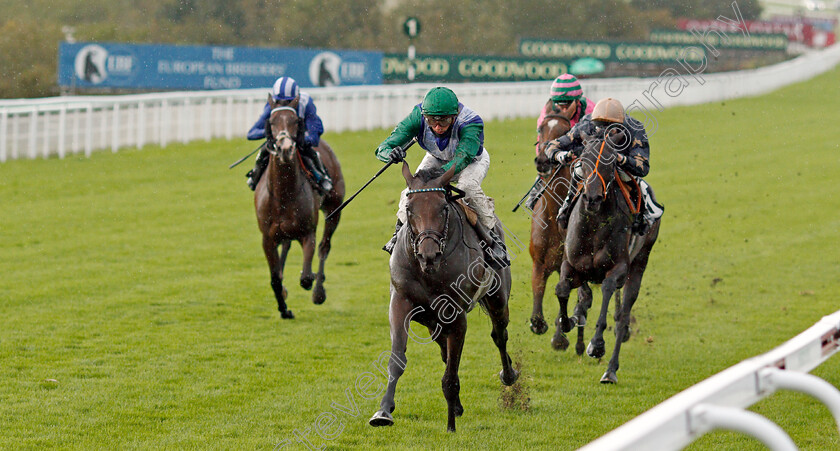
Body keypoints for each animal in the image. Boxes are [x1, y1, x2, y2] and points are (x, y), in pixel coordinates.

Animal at [258, 97, 346, 320]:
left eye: (295, 121)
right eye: (272, 121)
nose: (286, 148)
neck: (283, 194)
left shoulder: (308, 233)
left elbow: (306, 277)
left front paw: (313, 281)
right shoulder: (267, 238)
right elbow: (275, 278)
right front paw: (284, 309)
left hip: (334, 210)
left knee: (324, 247)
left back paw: (319, 290)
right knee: (286, 246)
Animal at [370, 162, 520, 434]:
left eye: (443, 207)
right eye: (409, 209)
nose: (428, 254)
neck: (429, 271)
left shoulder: (457, 315)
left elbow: (451, 371)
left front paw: (450, 425)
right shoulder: (400, 302)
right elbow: (397, 359)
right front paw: (383, 411)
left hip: (498, 297)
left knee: (499, 335)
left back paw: (508, 374)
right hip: (432, 320)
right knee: (444, 349)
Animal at [528, 114, 592, 356]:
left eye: (565, 130)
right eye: (540, 128)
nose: (542, 161)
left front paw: (560, 337)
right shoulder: (539, 263)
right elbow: (538, 307)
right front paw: (539, 323)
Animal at [556, 132, 660, 384]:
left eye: (610, 163)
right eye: (583, 160)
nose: (592, 198)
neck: (593, 225)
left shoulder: (618, 268)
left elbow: (607, 289)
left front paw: (597, 344)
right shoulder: (571, 263)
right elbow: (562, 289)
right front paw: (567, 321)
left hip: (640, 261)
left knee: (623, 317)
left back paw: (610, 370)